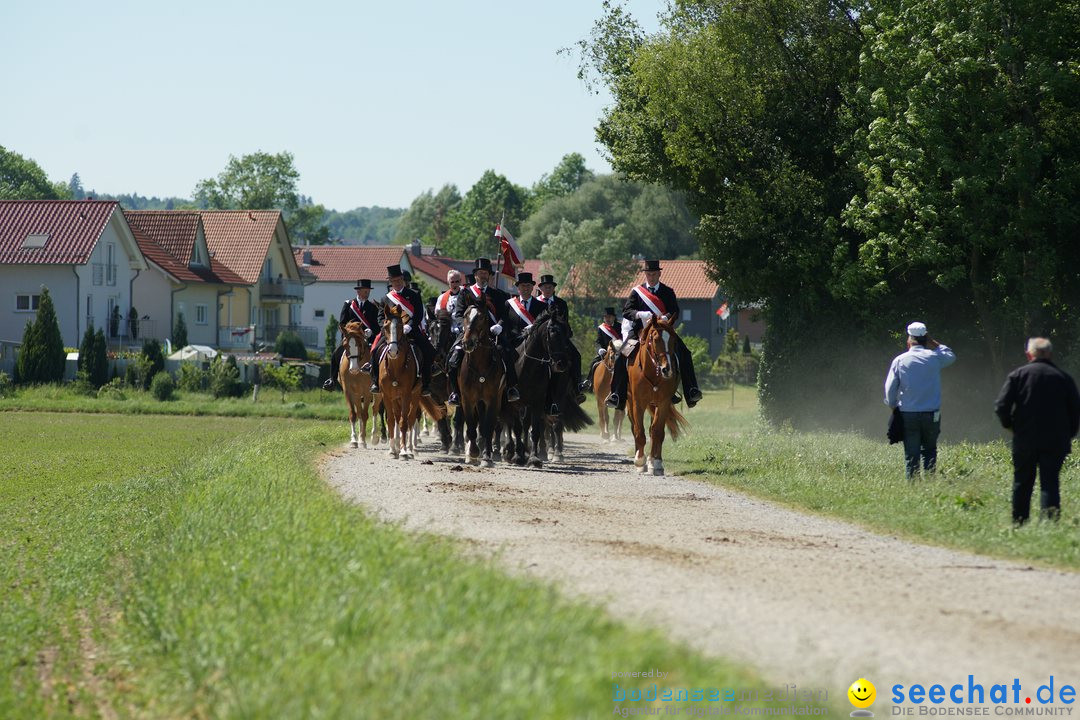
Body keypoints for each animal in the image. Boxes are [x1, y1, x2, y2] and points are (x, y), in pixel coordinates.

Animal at [630, 313, 686, 472]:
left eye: (673, 340)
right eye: (655, 339)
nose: (667, 369)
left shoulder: (663, 403)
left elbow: (657, 431)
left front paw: (655, 461)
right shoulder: (638, 403)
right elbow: (639, 431)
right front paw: (639, 460)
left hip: (655, 405)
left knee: (653, 430)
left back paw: (653, 460)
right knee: (636, 428)